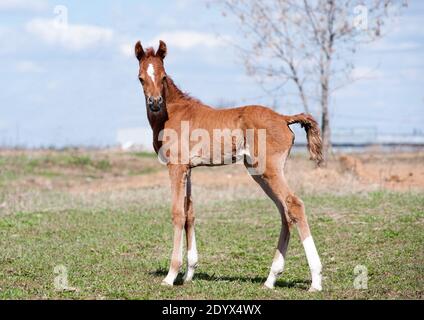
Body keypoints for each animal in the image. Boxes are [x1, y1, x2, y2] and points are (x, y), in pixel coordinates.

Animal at [136, 40, 324, 292]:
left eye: (163, 76)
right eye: (141, 78)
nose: (155, 103)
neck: (171, 113)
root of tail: (284, 118)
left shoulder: (176, 167)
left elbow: (177, 213)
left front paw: (171, 274)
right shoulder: (188, 170)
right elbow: (190, 212)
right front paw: (189, 274)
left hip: (269, 170)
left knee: (294, 204)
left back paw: (315, 280)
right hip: (258, 172)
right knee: (284, 211)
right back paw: (271, 279)